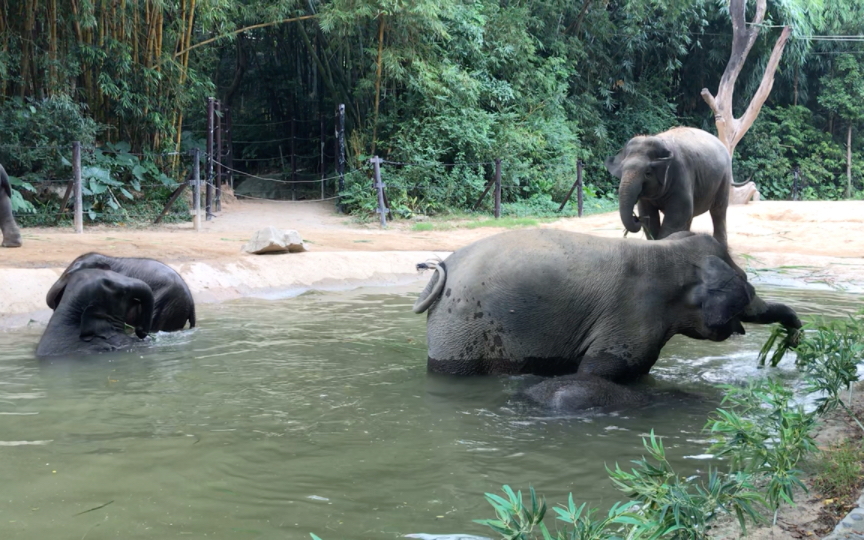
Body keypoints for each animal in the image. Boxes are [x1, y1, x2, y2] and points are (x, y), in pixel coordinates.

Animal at [412, 228, 804, 410]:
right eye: (747, 287)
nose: (796, 339)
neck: (667, 252)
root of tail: (442, 269)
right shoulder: (631, 315)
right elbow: (597, 372)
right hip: (461, 326)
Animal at [608, 125, 756, 246]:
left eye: (648, 173)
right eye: (622, 170)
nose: (635, 218)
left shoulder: (680, 173)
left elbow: (679, 213)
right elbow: (648, 214)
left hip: (723, 178)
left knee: (718, 210)